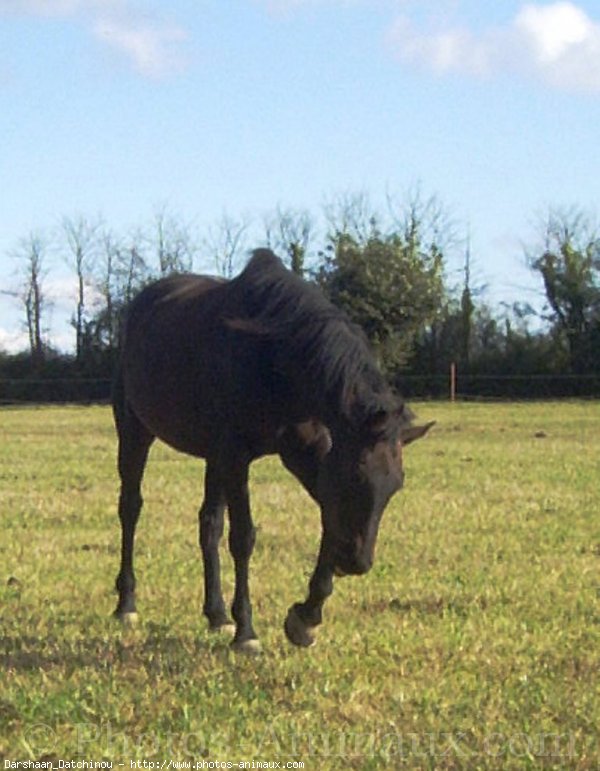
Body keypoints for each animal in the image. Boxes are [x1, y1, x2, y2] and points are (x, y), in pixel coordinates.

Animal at [111, 249, 432, 652]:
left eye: (395, 486)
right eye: (353, 477)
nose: (356, 562)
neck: (275, 358)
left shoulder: (306, 453)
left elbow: (328, 521)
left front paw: (305, 618)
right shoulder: (237, 456)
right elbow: (243, 537)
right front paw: (247, 631)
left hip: (212, 457)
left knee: (208, 524)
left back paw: (217, 615)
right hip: (134, 430)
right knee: (131, 508)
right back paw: (127, 604)